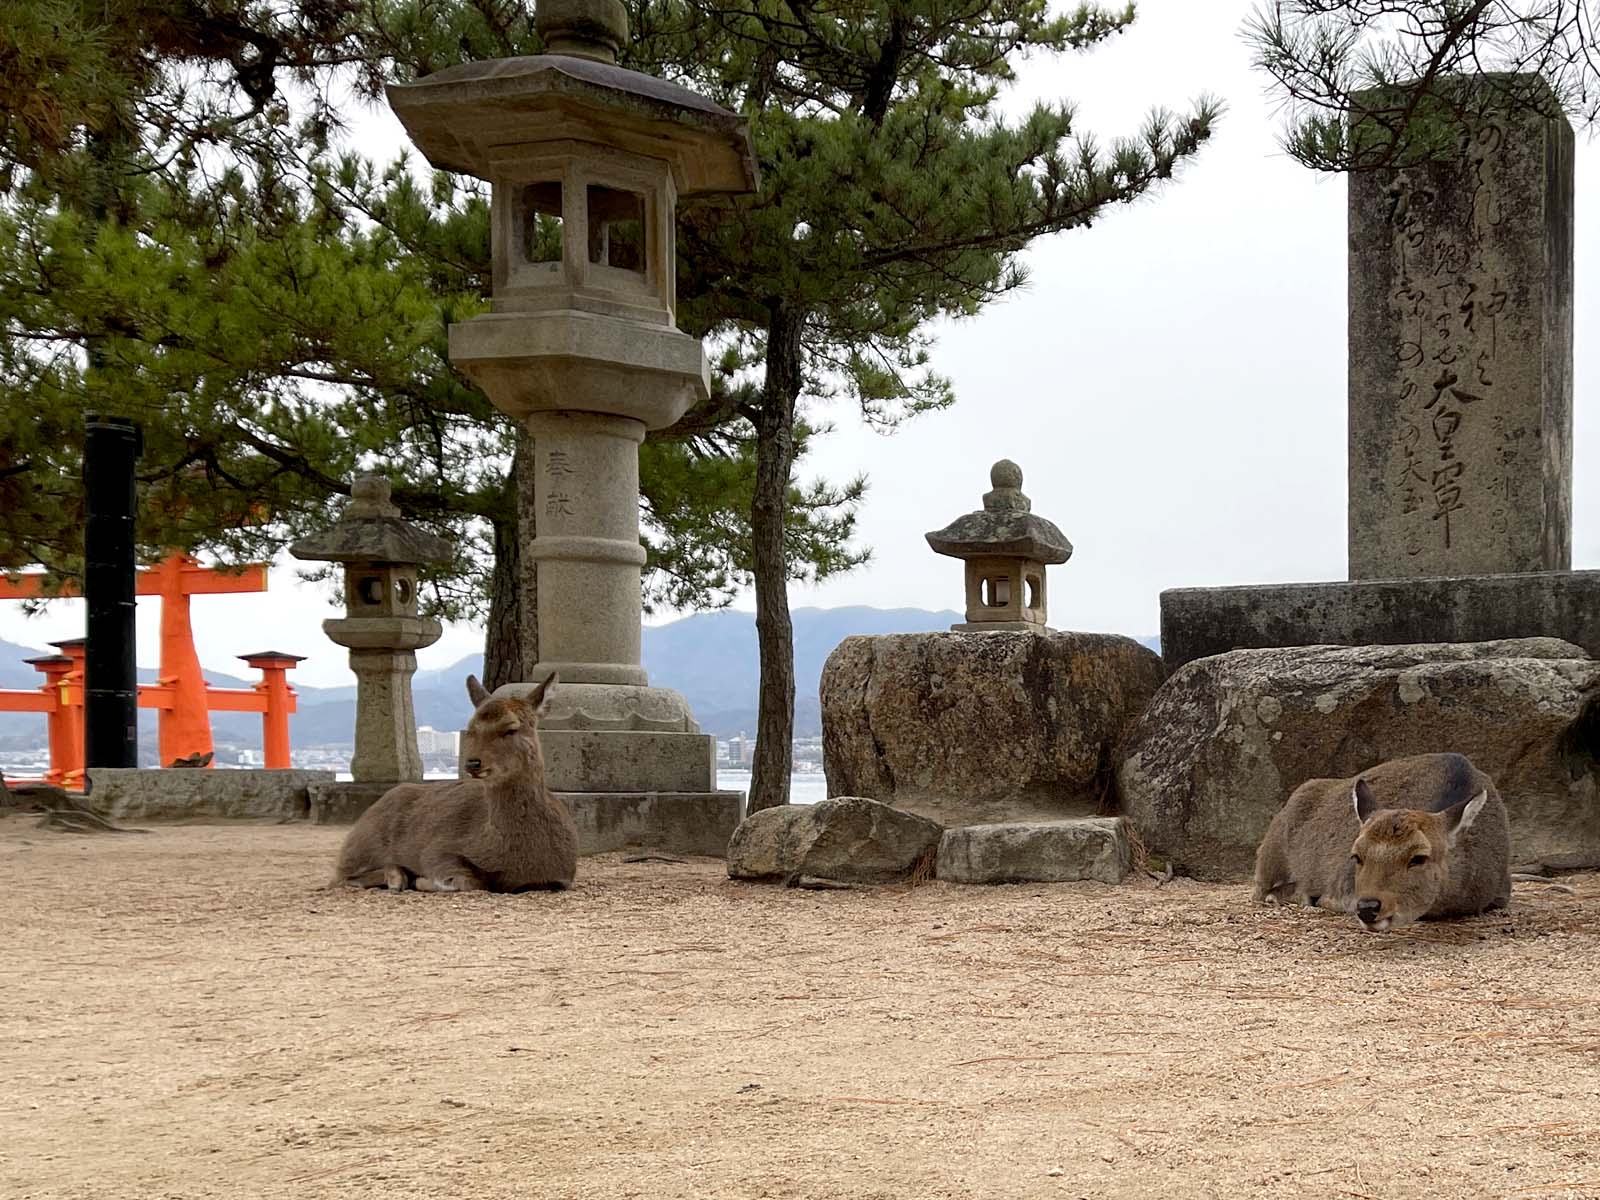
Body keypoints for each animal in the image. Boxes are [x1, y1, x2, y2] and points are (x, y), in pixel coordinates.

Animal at [331, 678, 576, 896]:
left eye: (511, 729)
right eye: (471, 729)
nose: (473, 763)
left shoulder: (562, 876)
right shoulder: (437, 848)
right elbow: (466, 880)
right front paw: (421, 880)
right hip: (362, 845)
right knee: (341, 876)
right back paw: (397, 877)